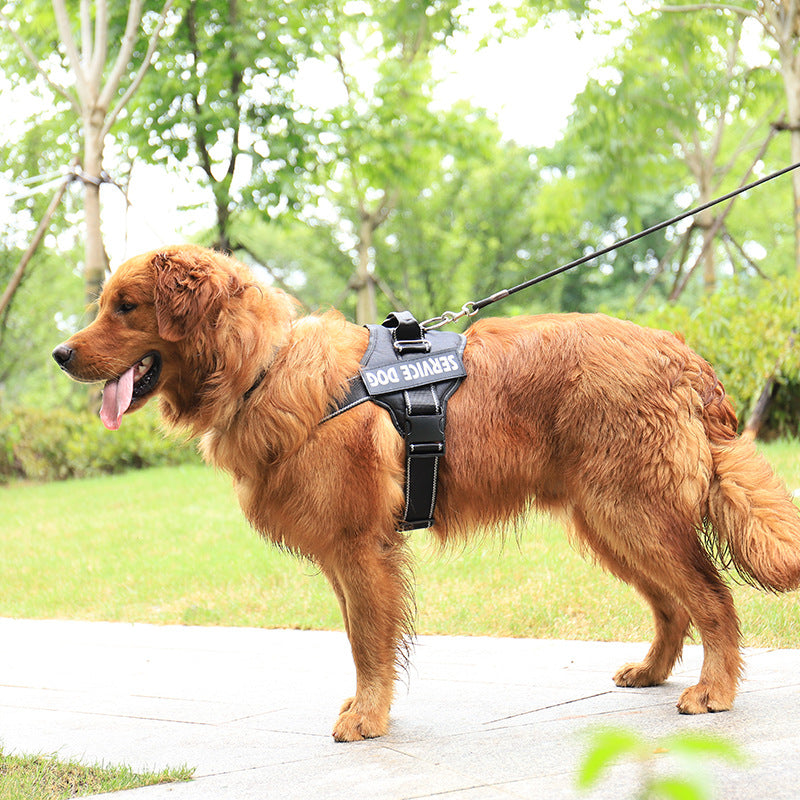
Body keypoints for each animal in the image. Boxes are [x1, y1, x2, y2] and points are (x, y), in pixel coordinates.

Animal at [53, 245, 800, 744]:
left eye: (126, 307)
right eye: (104, 306)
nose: (61, 355)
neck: (261, 368)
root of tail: (683, 353)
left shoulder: (361, 549)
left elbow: (366, 641)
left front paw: (367, 717)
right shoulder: (346, 556)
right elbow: (361, 638)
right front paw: (368, 709)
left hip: (633, 513)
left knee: (712, 598)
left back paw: (714, 690)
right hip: (608, 522)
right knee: (672, 605)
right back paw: (652, 671)